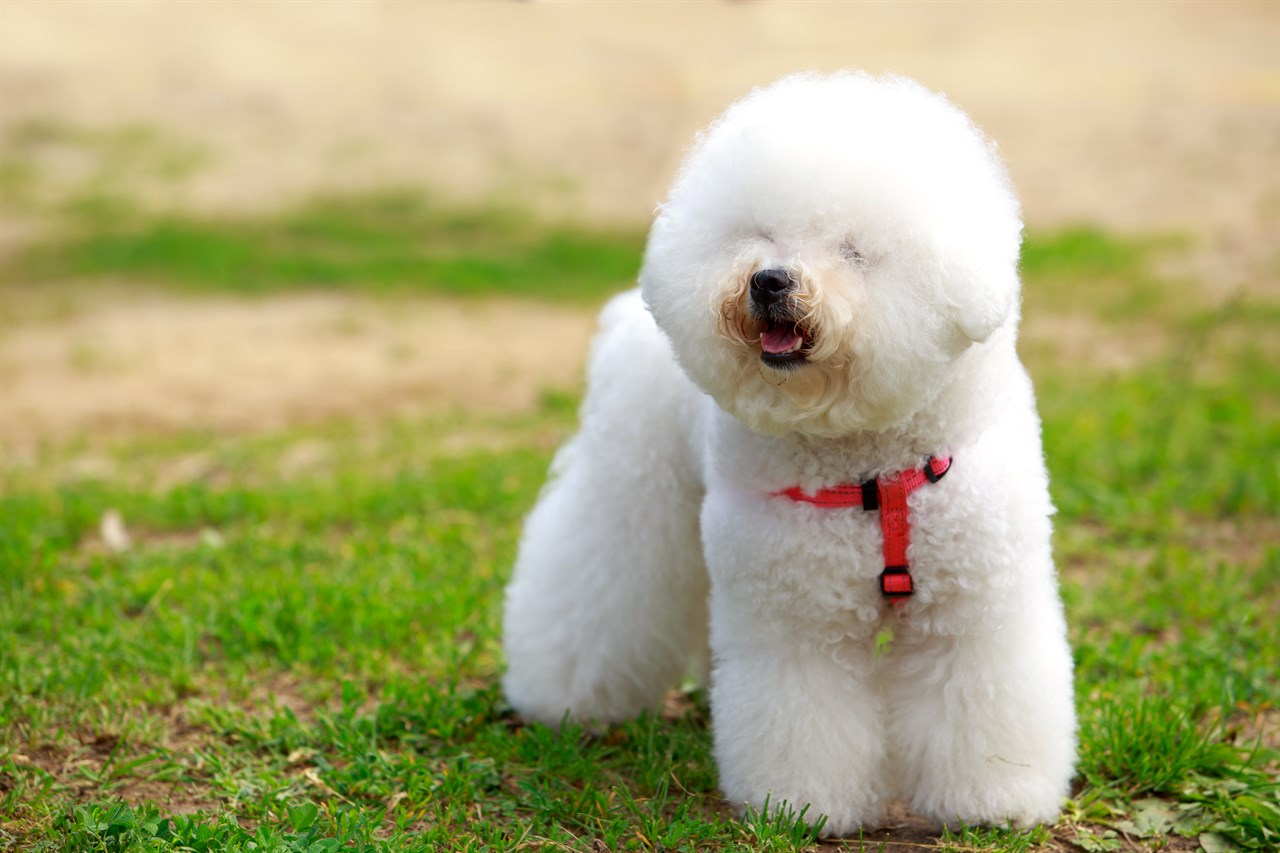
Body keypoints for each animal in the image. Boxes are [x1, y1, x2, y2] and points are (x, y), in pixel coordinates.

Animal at [494, 71, 1075, 829]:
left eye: (855, 251)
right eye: (759, 234)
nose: (769, 279)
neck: (869, 470)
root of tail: (630, 315)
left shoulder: (974, 611)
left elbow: (978, 697)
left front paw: (991, 802)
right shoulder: (797, 622)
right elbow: (801, 713)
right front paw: (801, 807)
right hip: (633, 492)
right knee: (595, 583)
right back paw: (564, 698)